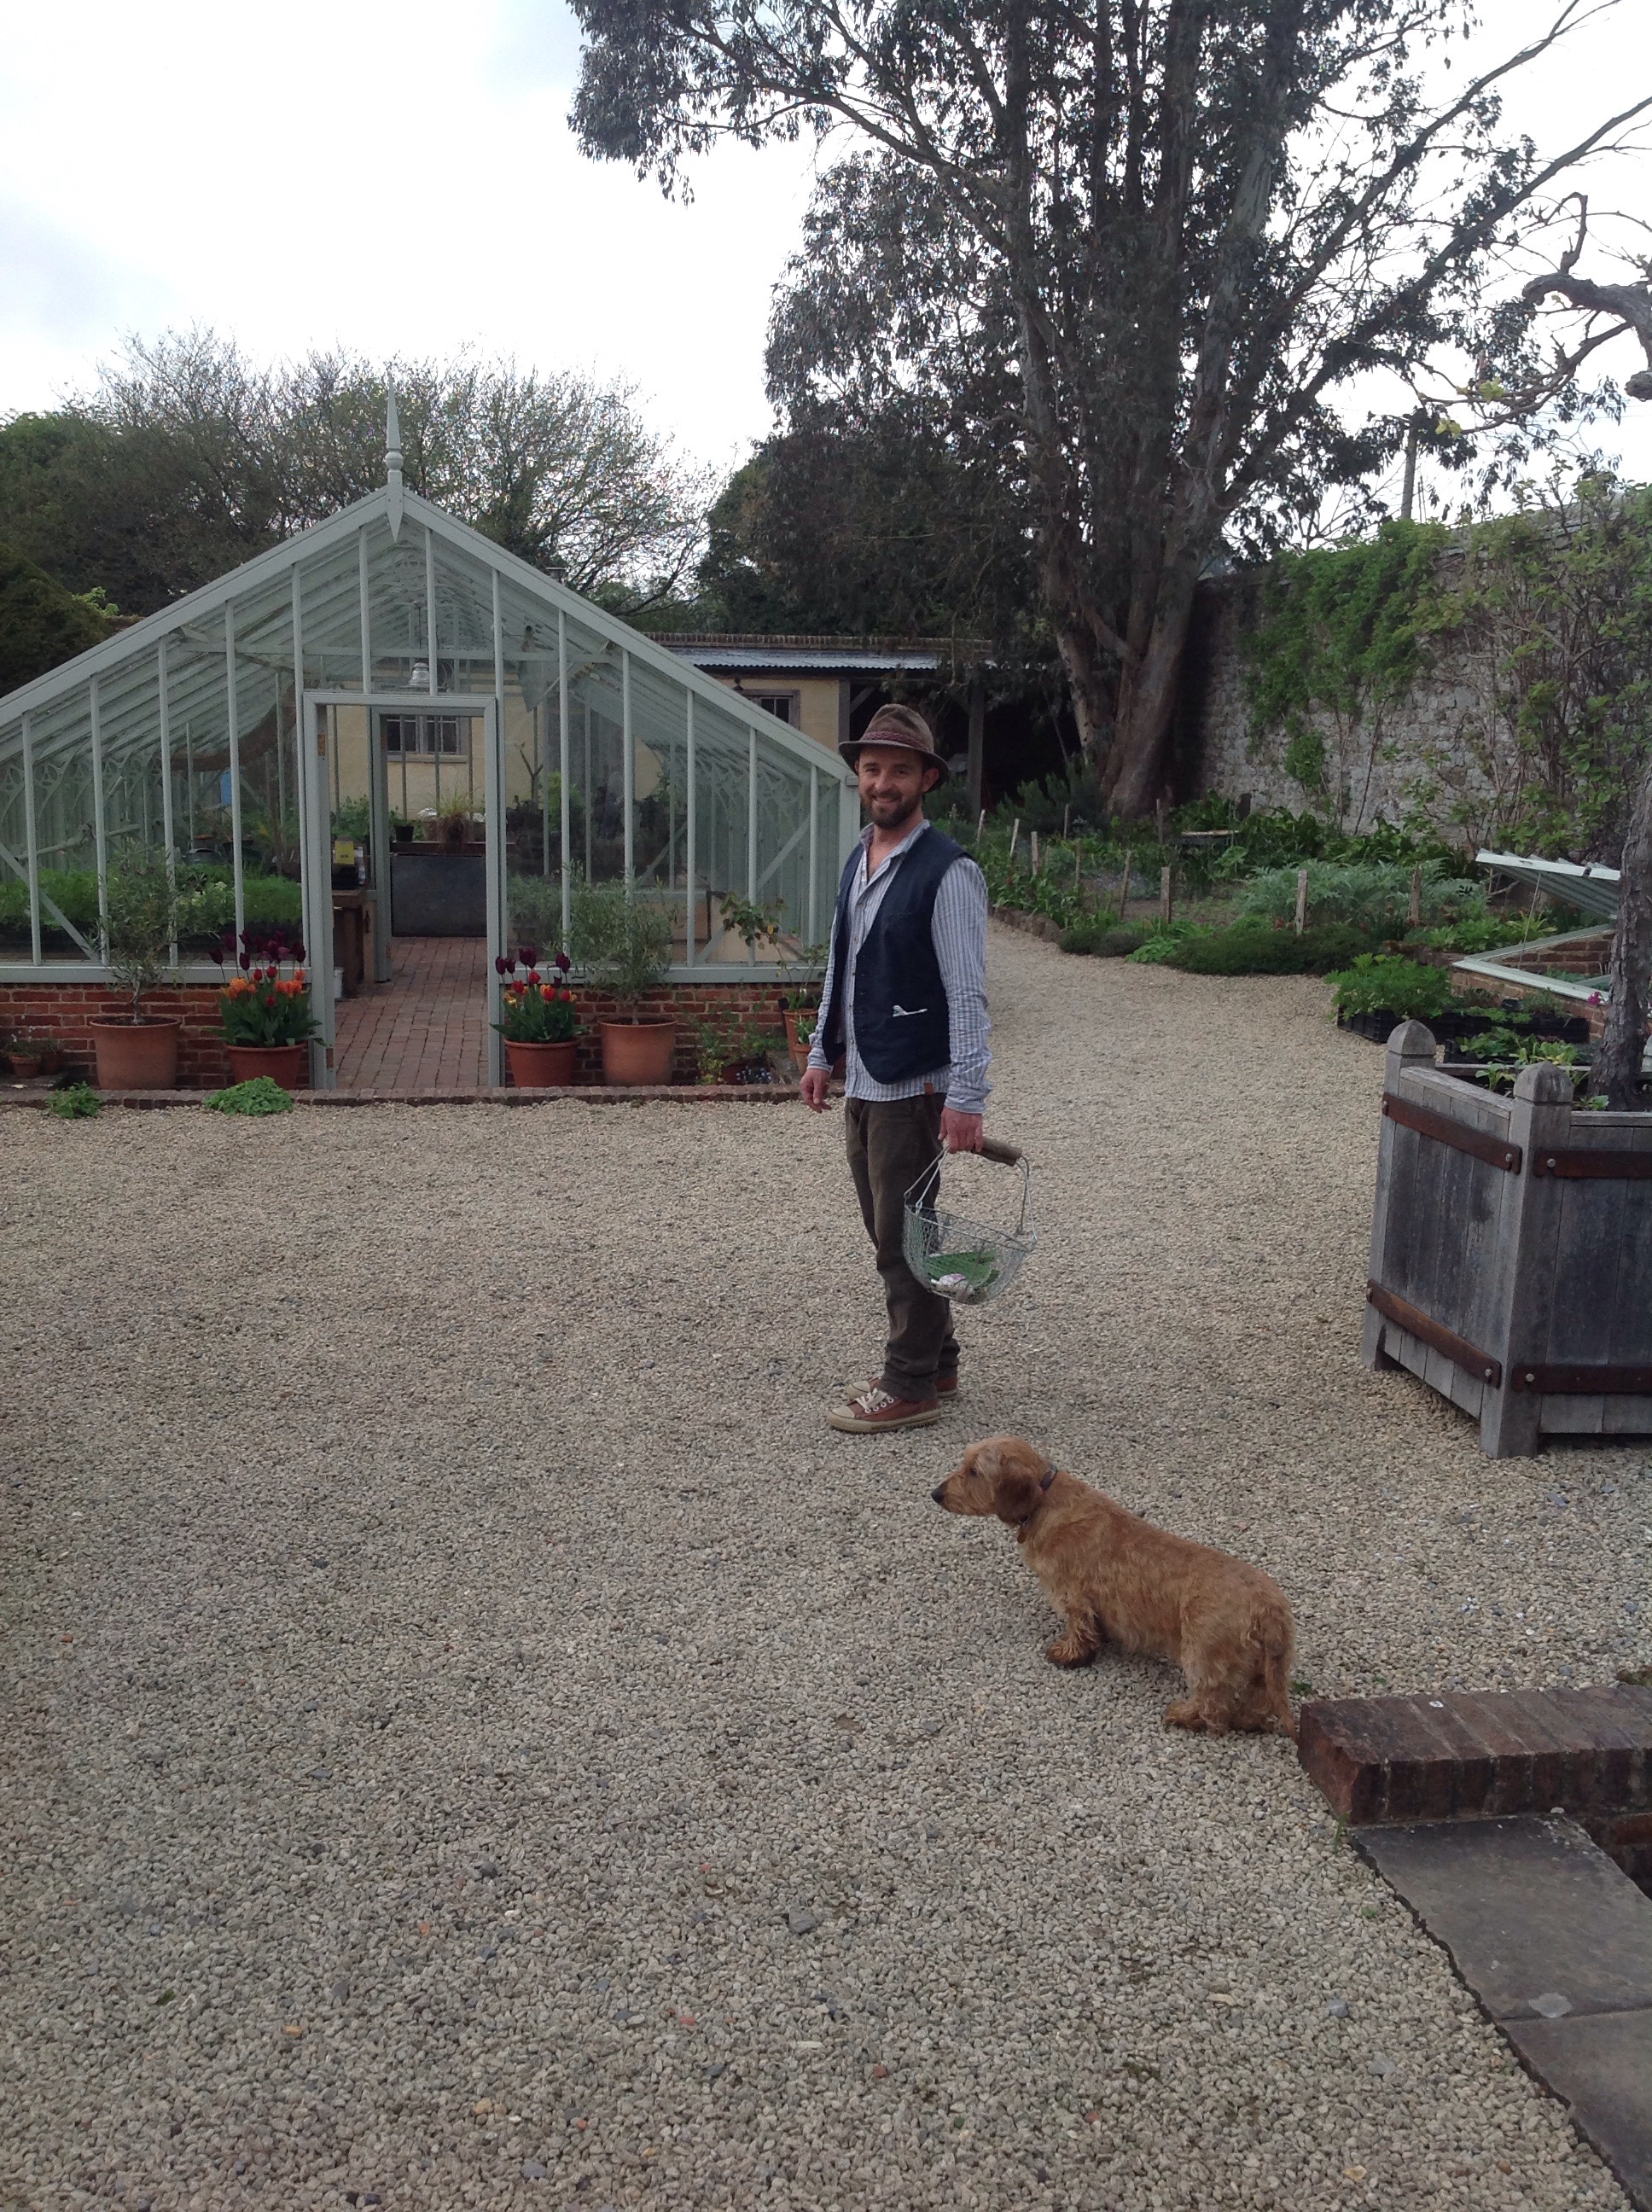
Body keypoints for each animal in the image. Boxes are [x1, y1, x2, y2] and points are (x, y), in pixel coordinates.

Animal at [931, 1435, 1296, 1737]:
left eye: (974, 1471)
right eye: (965, 1463)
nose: (936, 1494)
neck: (1046, 1501)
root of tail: (1269, 1608)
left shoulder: (1073, 1596)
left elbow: (1079, 1629)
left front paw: (1068, 1655)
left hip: (1202, 1656)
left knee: (1213, 1704)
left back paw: (1184, 1715)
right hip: (1263, 1668)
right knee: (1258, 1701)